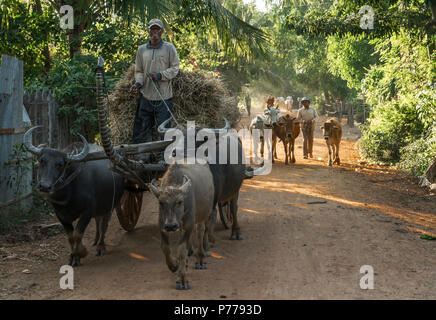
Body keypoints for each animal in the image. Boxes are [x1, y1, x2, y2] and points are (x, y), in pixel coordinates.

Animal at [23, 126, 125, 266]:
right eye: (42, 160)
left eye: (60, 164)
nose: (44, 186)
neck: (68, 195)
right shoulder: (60, 215)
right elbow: (70, 237)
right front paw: (72, 257)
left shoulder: (87, 211)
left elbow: (77, 234)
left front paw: (81, 253)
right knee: (98, 221)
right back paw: (95, 240)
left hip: (110, 204)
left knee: (104, 224)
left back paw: (101, 246)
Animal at [149, 162, 215, 290]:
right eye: (161, 202)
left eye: (179, 202)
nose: (171, 226)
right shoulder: (162, 225)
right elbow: (165, 247)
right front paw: (174, 265)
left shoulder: (189, 225)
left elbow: (182, 249)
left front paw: (182, 279)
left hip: (204, 214)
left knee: (200, 232)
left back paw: (200, 258)